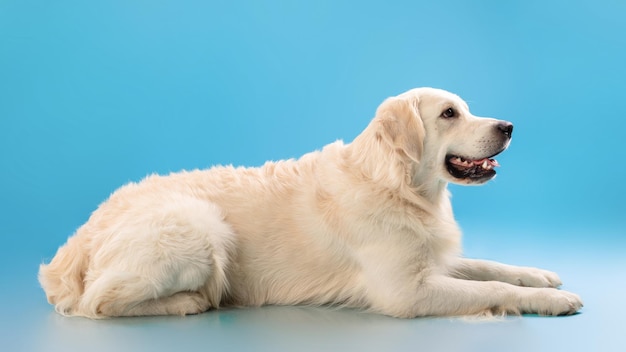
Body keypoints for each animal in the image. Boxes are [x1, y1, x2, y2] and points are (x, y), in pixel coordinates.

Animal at [41, 88, 584, 320]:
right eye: (450, 113)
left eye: (467, 109)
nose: (508, 126)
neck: (398, 185)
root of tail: (81, 236)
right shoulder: (404, 292)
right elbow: (489, 287)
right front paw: (552, 301)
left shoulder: (430, 259)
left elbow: (489, 265)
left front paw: (539, 276)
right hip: (201, 227)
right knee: (96, 303)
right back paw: (189, 302)